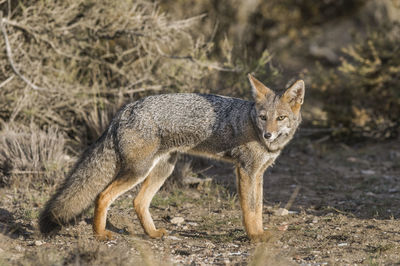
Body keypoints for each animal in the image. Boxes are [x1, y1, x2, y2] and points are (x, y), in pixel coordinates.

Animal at [39, 74, 304, 242]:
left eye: (280, 118)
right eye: (262, 117)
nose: (268, 134)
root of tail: (125, 110)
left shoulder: (258, 173)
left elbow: (258, 207)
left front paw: (260, 233)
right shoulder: (246, 171)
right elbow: (250, 210)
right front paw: (255, 237)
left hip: (162, 169)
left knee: (139, 202)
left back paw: (152, 234)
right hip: (138, 171)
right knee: (103, 196)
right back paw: (100, 234)